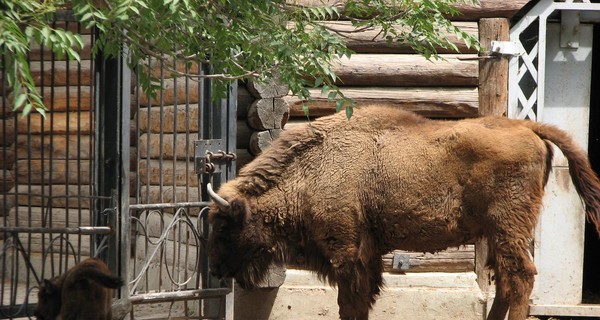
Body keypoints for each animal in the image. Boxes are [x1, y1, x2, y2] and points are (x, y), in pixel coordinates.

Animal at [206, 106, 600, 320]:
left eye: (224, 227)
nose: (216, 269)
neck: (311, 169)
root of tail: (527, 126)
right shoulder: (367, 256)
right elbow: (361, 300)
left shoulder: (346, 253)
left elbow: (350, 302)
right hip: (497, 233)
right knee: (504, 280)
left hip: (508, 226)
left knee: (519, 277)